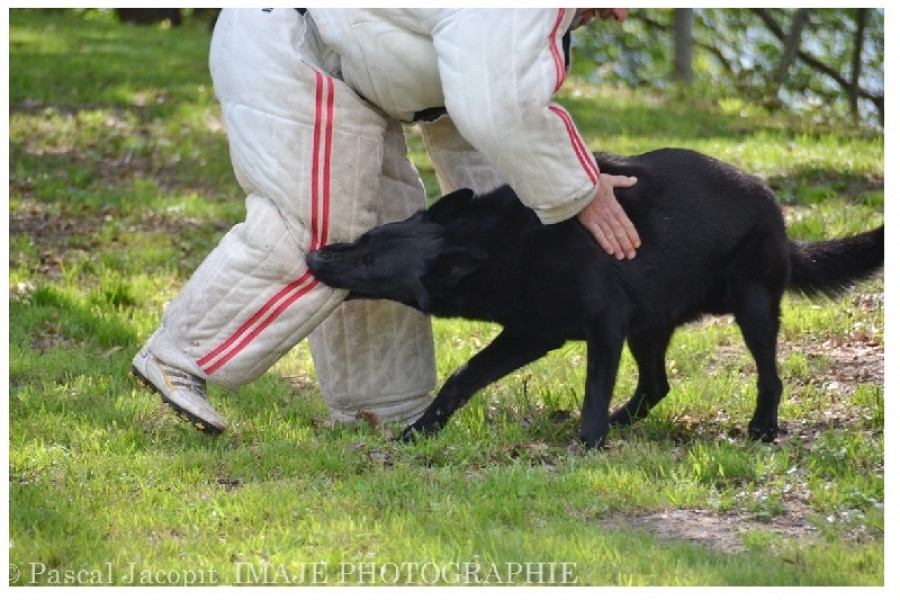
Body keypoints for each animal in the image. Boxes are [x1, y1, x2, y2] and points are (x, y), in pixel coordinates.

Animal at [306, 148, 884, 448]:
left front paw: (589, 443)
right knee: (656, 386)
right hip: (649, 328)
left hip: (753, 307)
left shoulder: (603, 325)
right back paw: (625, 422)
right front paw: (422, 430)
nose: (314, 257)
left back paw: (762, 427)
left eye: (371, 264)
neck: (501, 246)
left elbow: (592, 392)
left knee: (769, 374)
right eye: (363, 240)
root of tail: (774, 207)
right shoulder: (529, 333)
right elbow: (463, 376)